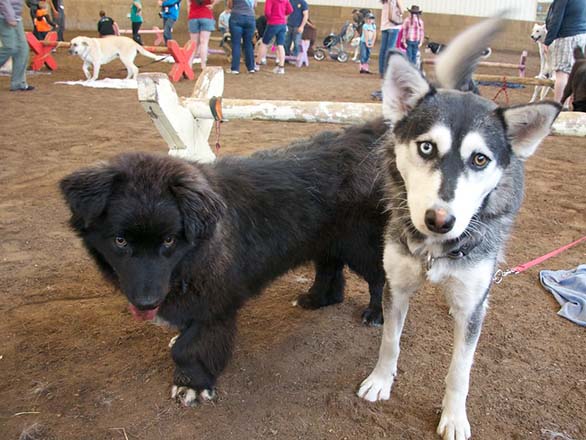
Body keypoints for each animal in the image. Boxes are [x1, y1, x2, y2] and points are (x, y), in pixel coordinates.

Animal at [60, 119, 388, 406]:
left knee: (378, 279)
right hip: (324, 240)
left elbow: (188, 348)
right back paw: (317, 299)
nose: (146, 302)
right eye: (120, 241)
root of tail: (368, 137)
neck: (194, 252)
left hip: (363, 244)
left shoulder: (214, 305)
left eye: (169, 240)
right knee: (330, 270)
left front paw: (192, 386)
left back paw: (374, 314)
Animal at [354, 17, 560, 440]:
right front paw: (381, 381)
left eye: (480, 159)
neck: (436, 250)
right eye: (426, 147)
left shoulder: (471, 306)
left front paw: (453, 417)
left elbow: (460, 371)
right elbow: (389, 342)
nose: (440, 220)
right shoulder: (397, 286)